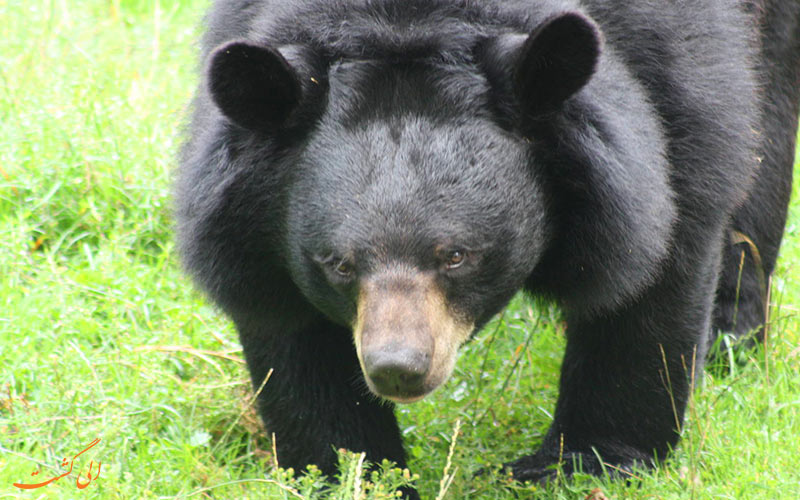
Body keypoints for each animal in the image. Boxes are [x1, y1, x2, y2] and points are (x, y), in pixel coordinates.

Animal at [177, 0, 800, 494]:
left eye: (456, 256)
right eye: (339, 264)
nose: (397, 369)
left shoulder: (669, 67)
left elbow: (658, 256)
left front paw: (580, 464)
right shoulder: (248, 215)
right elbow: (286, 324)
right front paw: (352, 474)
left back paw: (729, 340)